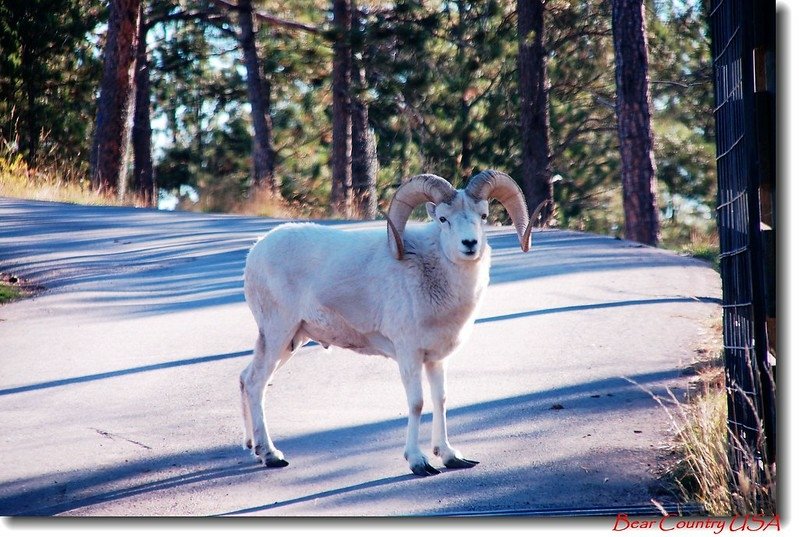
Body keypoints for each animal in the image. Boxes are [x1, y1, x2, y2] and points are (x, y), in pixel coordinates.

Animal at [241, 171, 544, 474]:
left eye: (483, 216)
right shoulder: (409, 354)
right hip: (278, 332)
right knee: (256, 383)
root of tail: (256, 251)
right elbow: (417, 403)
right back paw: (271, 455)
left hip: (292, 341)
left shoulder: (436, 359)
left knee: (246, 378)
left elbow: (441, 400)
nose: (469, 244)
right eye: (443, 219)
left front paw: (450, 456)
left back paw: (253, 448)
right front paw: (418, 462)